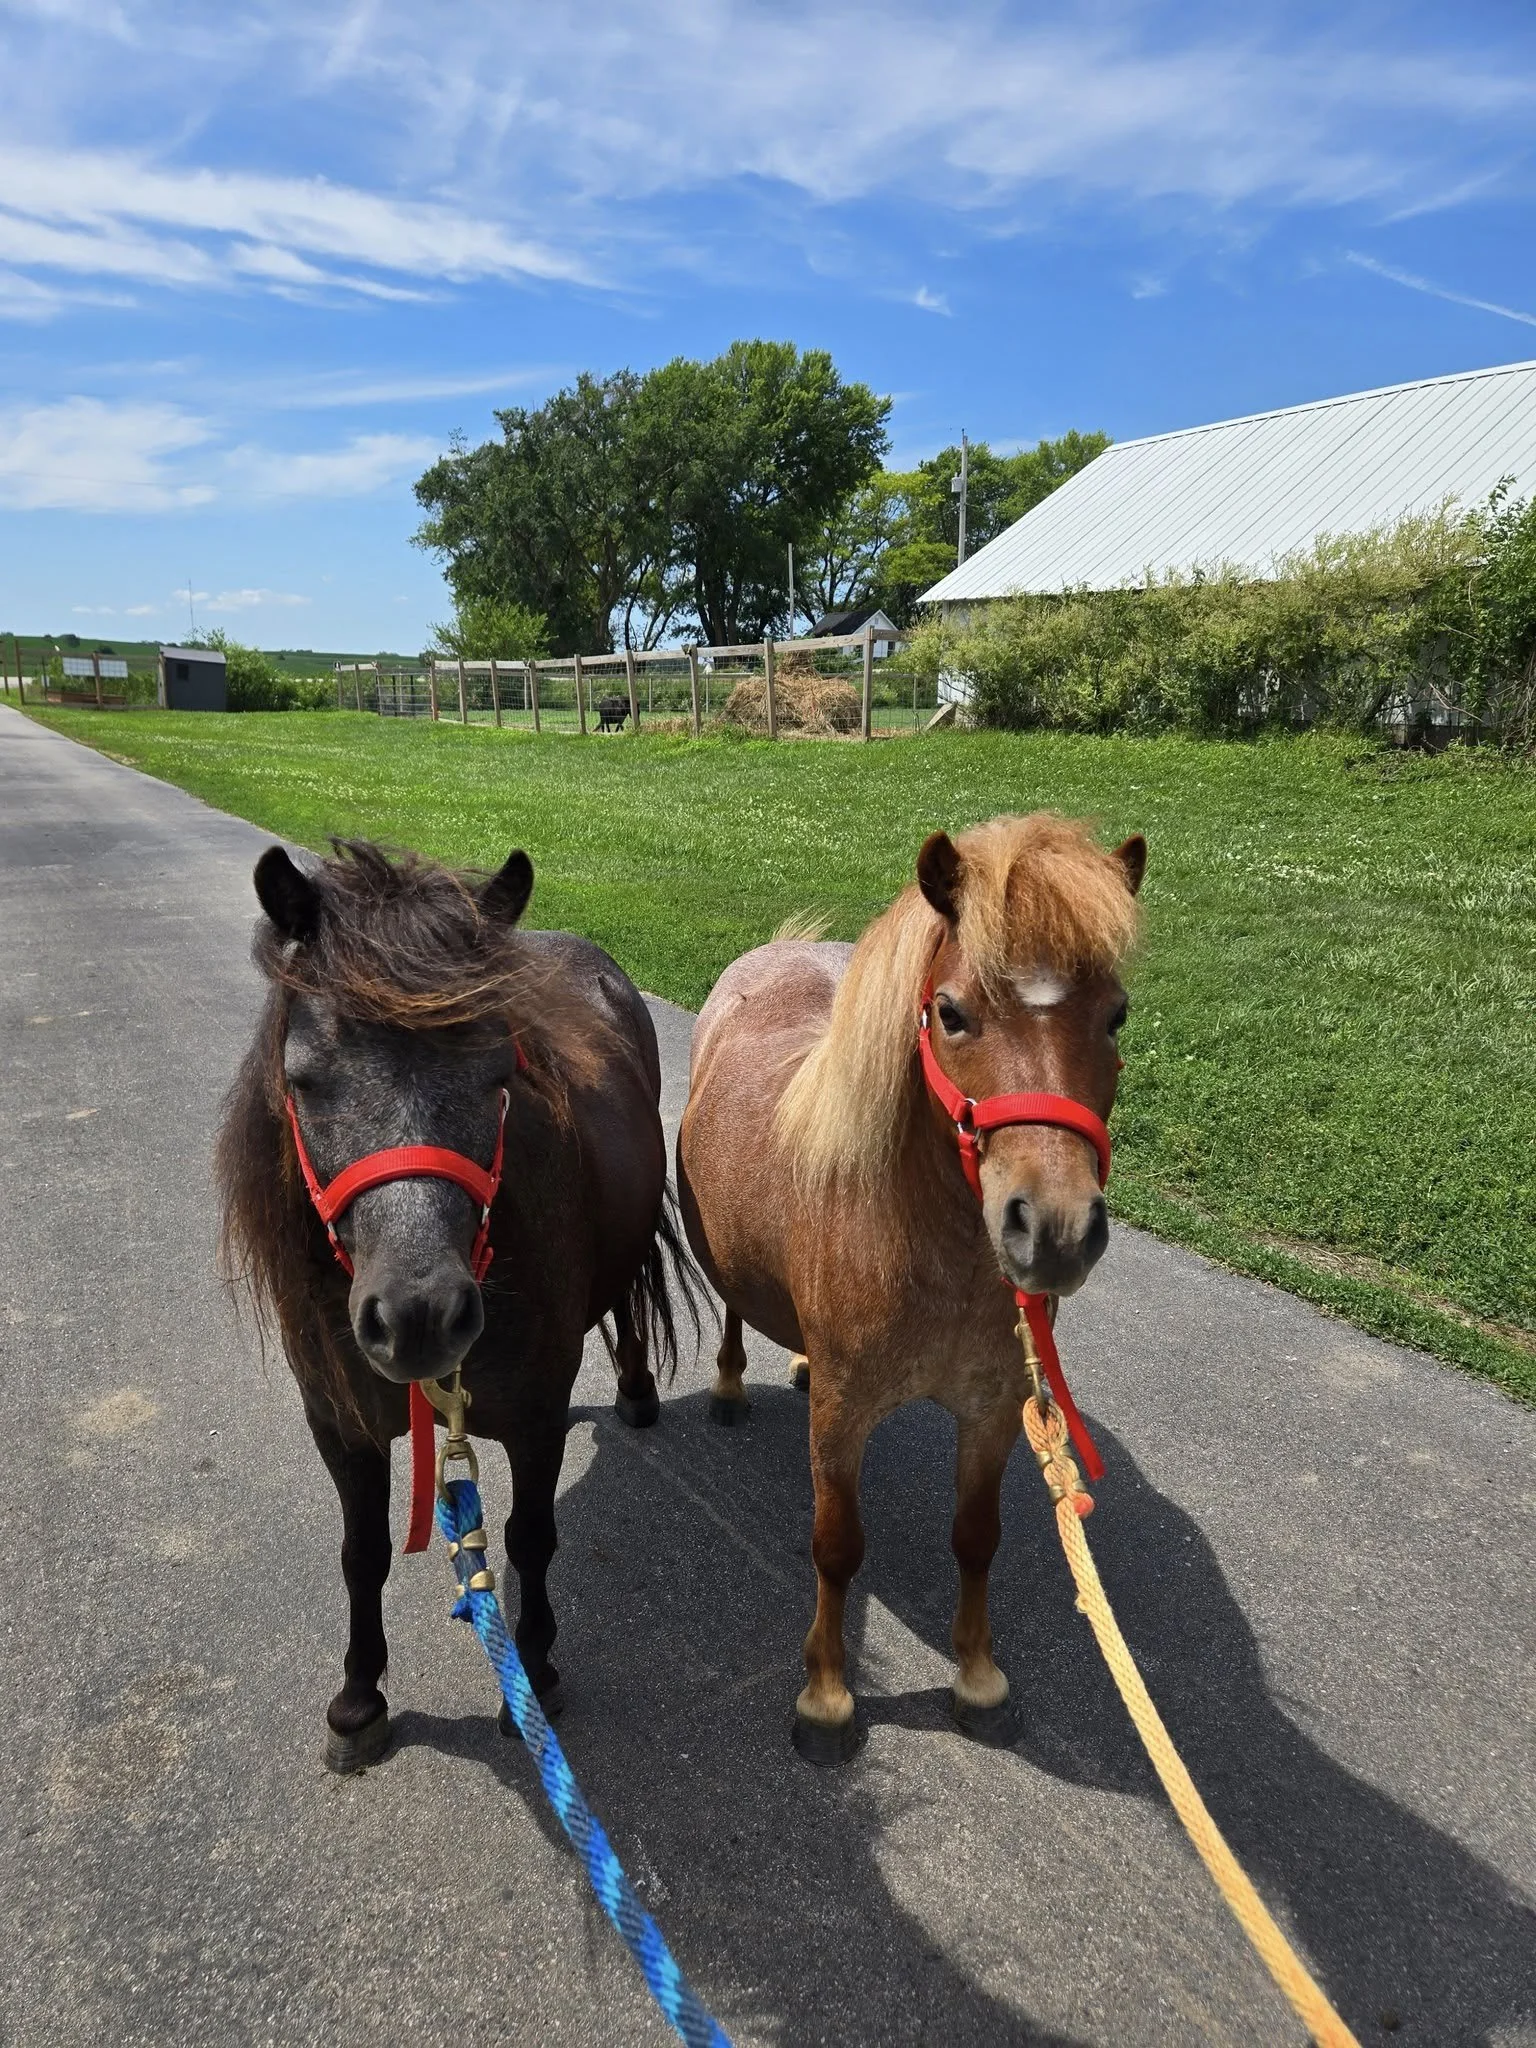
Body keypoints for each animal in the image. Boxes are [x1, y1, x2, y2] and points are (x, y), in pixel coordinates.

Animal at [217, 838, 690, 1772]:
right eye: (305, 1079)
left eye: (498, 1073)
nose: (420, 1315)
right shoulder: (341, 1426)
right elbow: (362, 1554)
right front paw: (360, 1697)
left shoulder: (537, 1417)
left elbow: (529, 1538)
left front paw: (534, 1673)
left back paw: (635, 1388)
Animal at [677, 812, 1145, 1764]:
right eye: (953, 1013)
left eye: (1116, 1015)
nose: (1055, 1229)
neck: (924, 1247)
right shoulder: (843, 1421)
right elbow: (836, 1548)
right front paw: (826, 1698)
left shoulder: (993, 1411)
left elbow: (977, 1539)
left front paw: (978, 1678)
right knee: (737, 1310)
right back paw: (733, 1384)